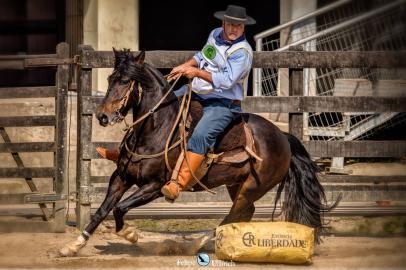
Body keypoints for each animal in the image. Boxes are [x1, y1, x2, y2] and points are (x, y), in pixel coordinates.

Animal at [60, 47, 340, 256]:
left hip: (251, 188)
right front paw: (74, 246)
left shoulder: (155, 186)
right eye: (110, 79)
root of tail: (283, 137)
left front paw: (131, 233)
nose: (102, 116)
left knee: (235, 214)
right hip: (236, 185)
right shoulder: (121, 177)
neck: (157, 129)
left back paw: (200, 243)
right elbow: (102, 210)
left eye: (126, 81)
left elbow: (120, 208)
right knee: (243, 214)